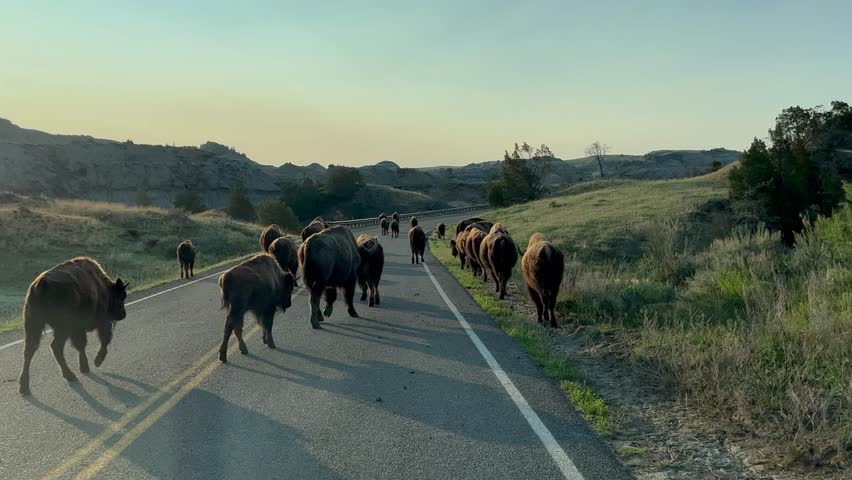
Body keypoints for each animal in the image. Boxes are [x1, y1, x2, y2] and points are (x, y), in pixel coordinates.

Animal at [19, 257, 129, 395]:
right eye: (121, 296)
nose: (123, 314)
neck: (101, 287)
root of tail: (41, 285)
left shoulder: (79, 329)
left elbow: (81, 345)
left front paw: (85, 366)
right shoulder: (100, 322)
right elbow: (101, 340)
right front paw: (95, 362)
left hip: (33, 324)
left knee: (29, 350)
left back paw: (24, 387)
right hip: (62, 328)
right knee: (55, 347)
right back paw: (70, 375)